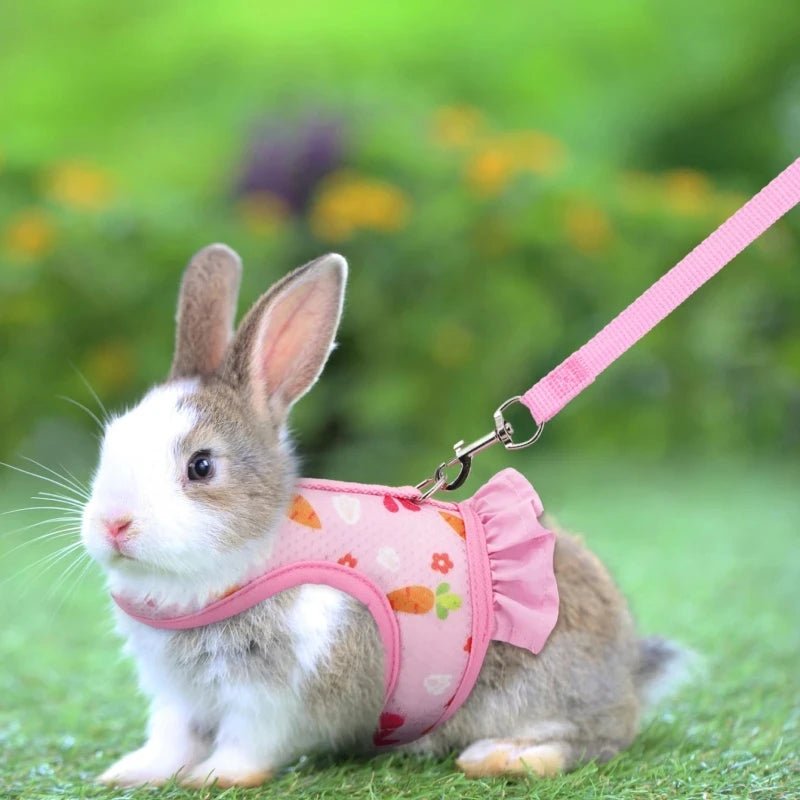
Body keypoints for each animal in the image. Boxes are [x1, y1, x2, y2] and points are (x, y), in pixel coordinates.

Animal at [80, 244, 688, 788]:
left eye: (201, 466)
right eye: (109, 442)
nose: (112, 525)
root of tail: (628, 668)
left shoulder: (275, 696)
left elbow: (246, 743)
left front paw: (213, 777)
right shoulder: (178, 697)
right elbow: (171, 737)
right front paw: (130, 773)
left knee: (592, 741)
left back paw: (499, 757)